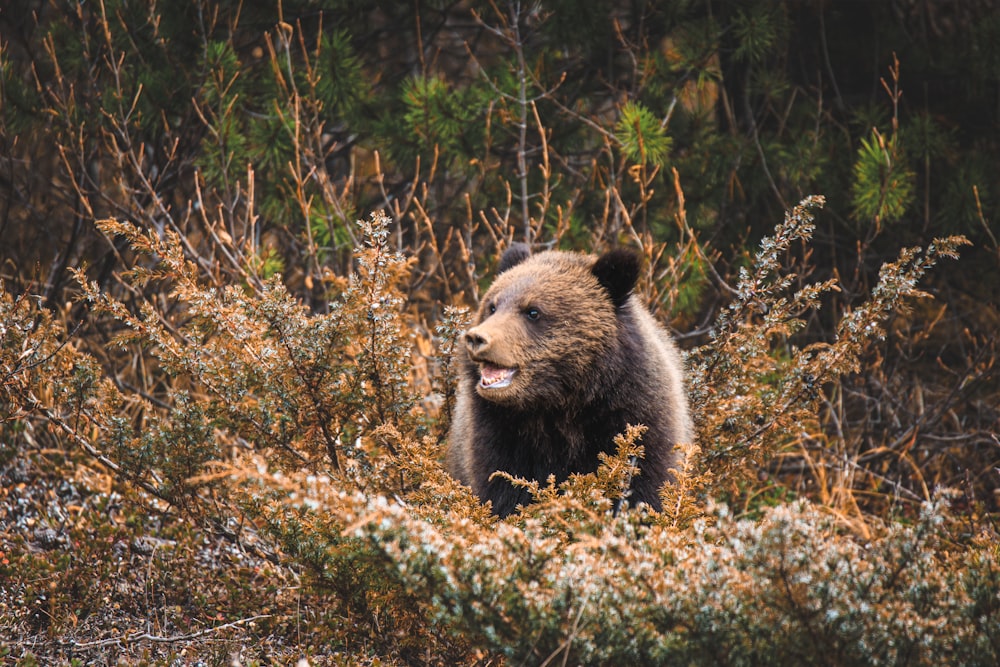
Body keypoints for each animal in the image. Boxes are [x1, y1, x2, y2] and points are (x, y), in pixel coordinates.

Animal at [450, 244, 692, 516]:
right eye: (492, 306)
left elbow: (644, 490)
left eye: (533, 311)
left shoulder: (637, 420)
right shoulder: (499, 434)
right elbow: (502, 492)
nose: (477, 338)